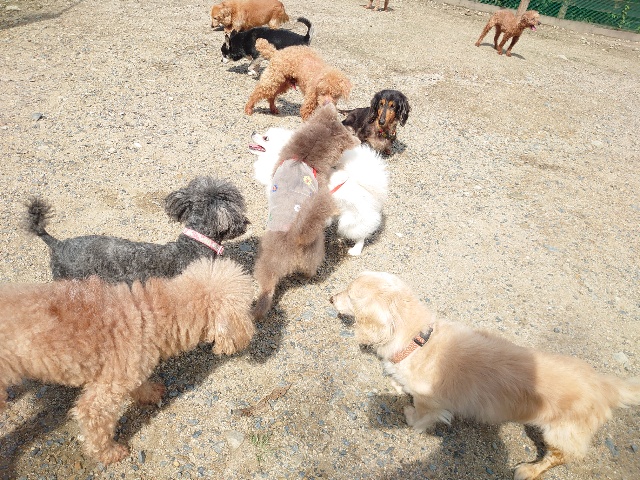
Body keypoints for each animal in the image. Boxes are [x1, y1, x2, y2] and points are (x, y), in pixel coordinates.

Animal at [0, 257, 255, 464]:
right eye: (248, 307)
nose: (254, 332)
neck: (153, 314)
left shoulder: (132, 367)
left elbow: (141, 385)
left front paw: (150, 393)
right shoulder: (104, 392)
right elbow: (95, 422)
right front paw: (109, 453)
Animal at [249, 126, 387, 256]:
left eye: (266, 138)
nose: (253, 132)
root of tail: (369, 190)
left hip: (351, 221)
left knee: (361, 235)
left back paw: (355, 250)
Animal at [331, 271, 640, 480]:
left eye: (349, 293)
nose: (330, 297)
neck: (419, 341)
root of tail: (605, 385)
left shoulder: (430, 402)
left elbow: (421, 416)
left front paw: (410, 418)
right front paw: (396, 383)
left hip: (559, 432)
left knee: (559, 456)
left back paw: (529, 470)